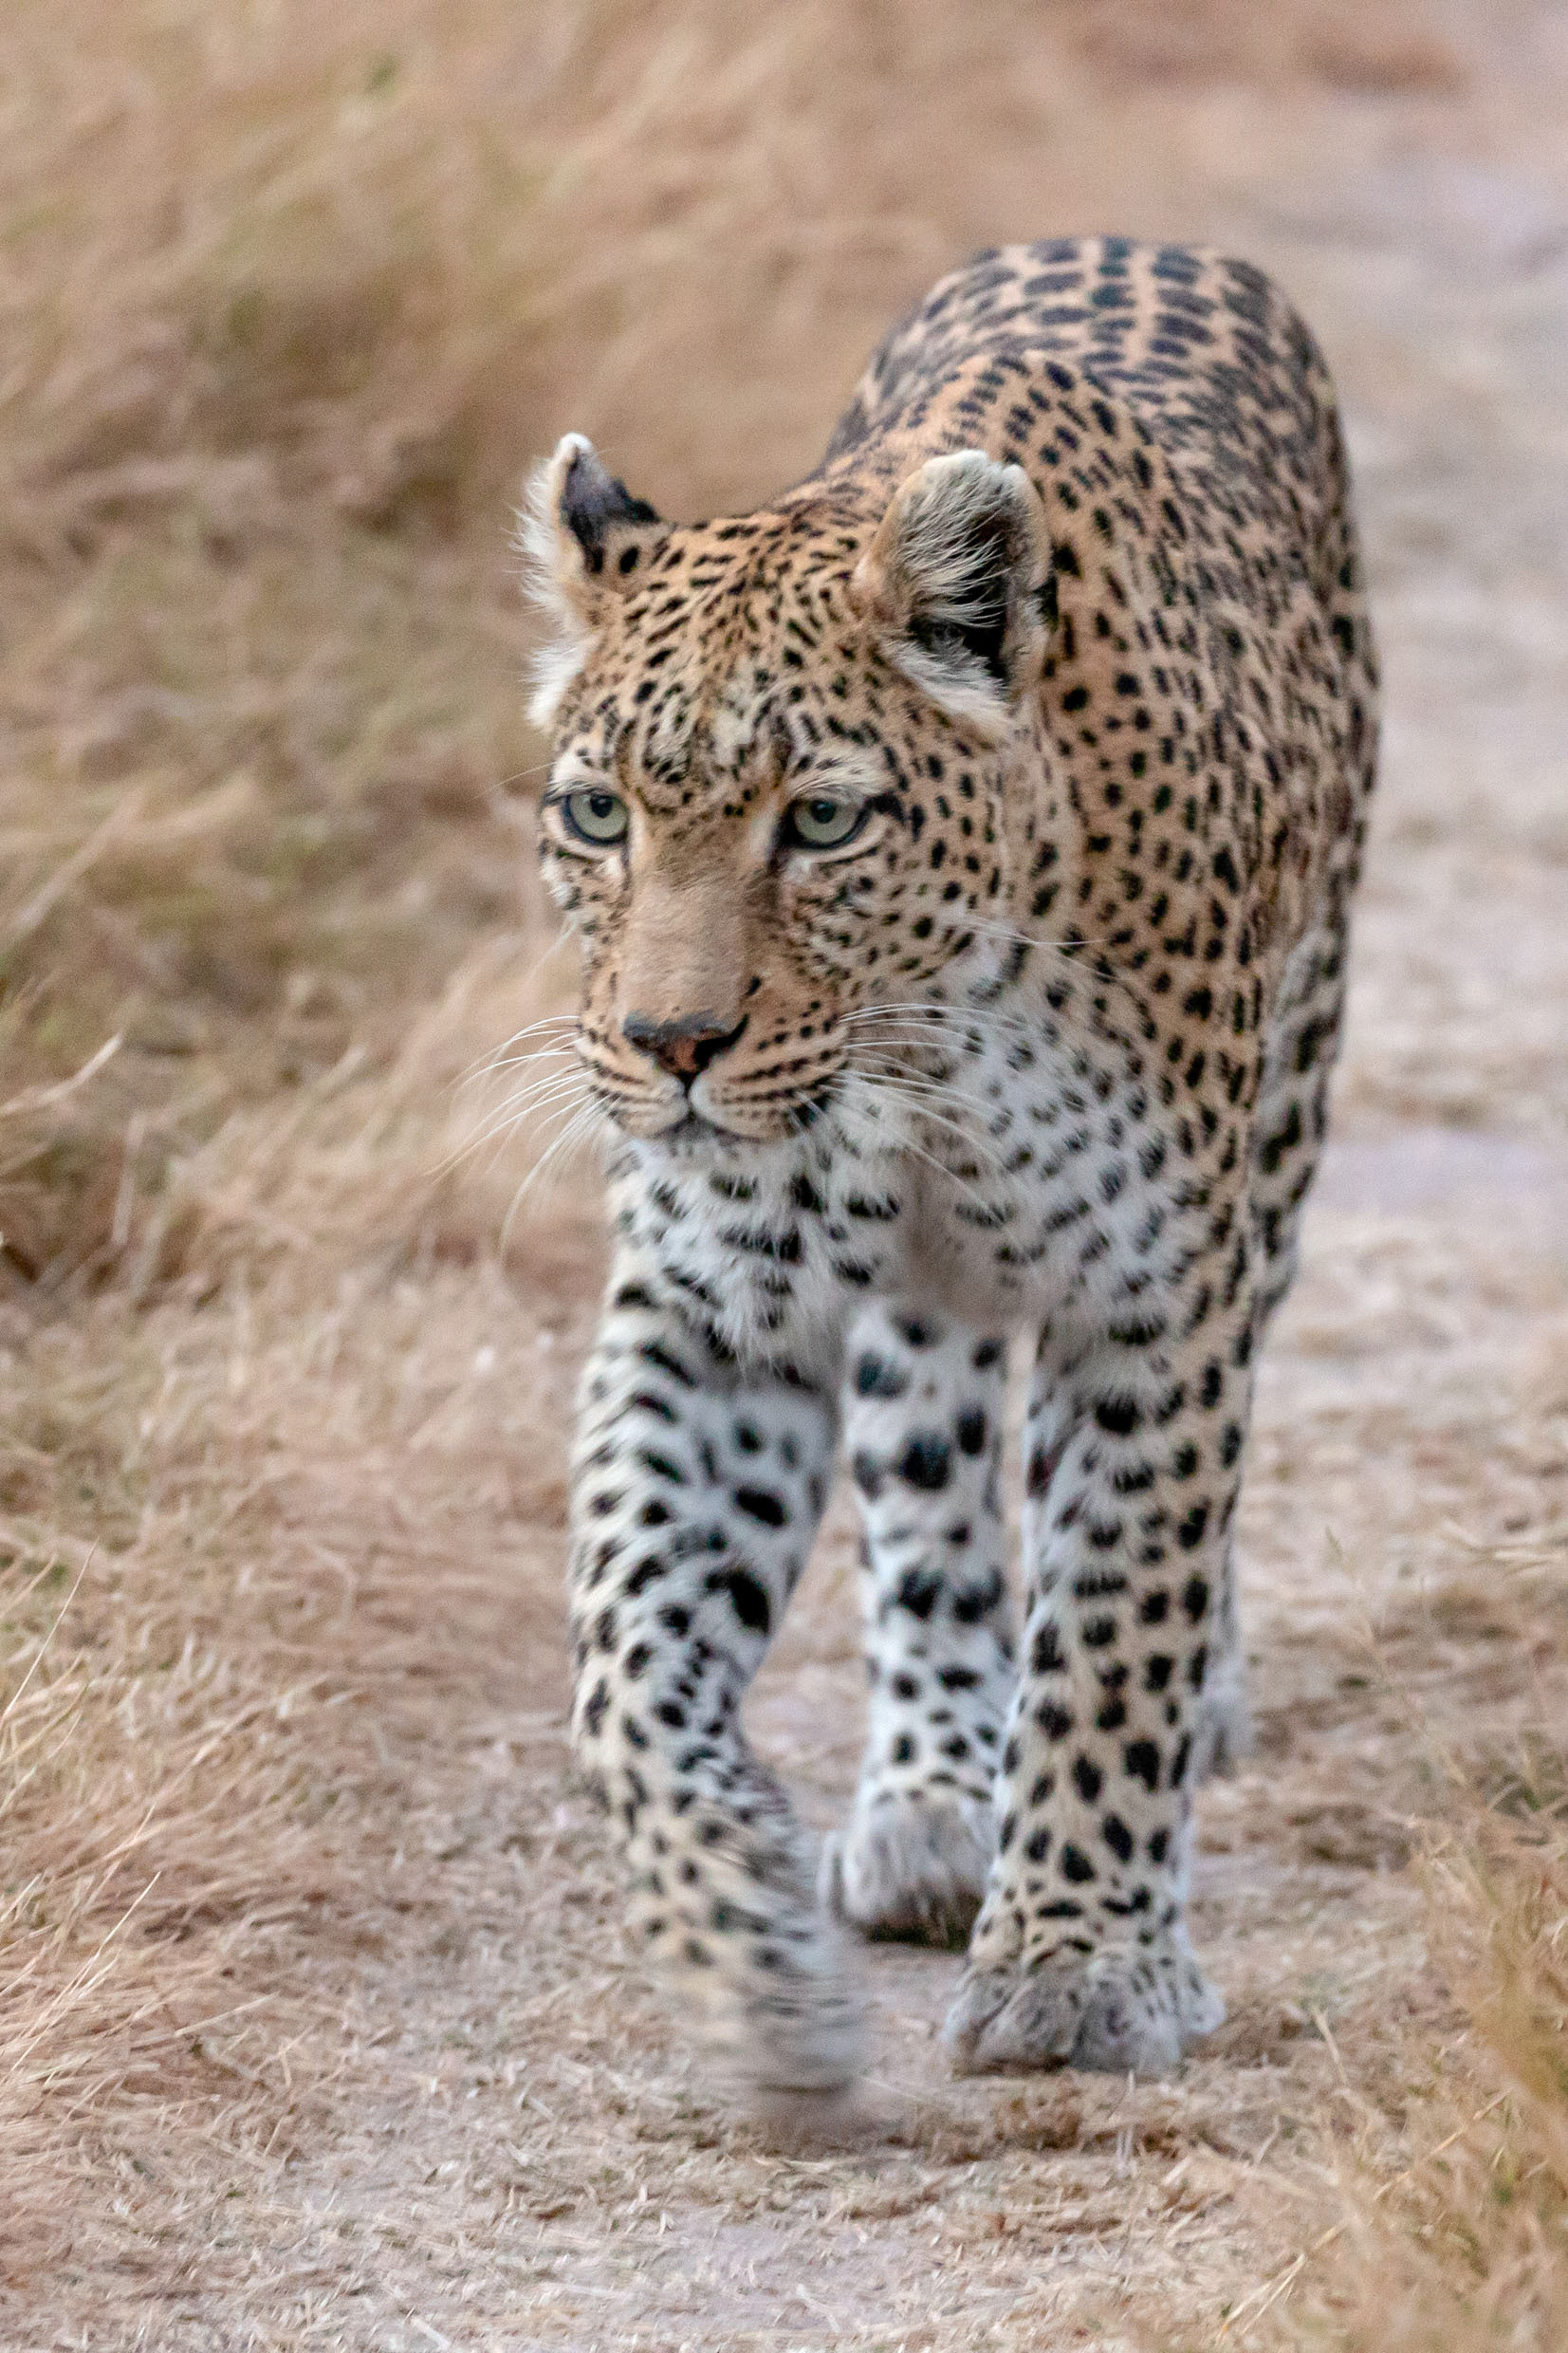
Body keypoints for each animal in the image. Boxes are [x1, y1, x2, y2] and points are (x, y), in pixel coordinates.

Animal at [520, 237, 1377, 2102]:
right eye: (599, 817)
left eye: (824, 822)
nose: (670, 1044)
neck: (919, 1054)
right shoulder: (711, 1309)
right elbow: (626, 1646)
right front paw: (737, 1946)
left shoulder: (1152, 1299)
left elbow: (1117, 1625)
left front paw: (1077, 1962)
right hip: (915, 1313)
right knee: (927, 1496)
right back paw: (921, 1799)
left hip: (1287, 1117)